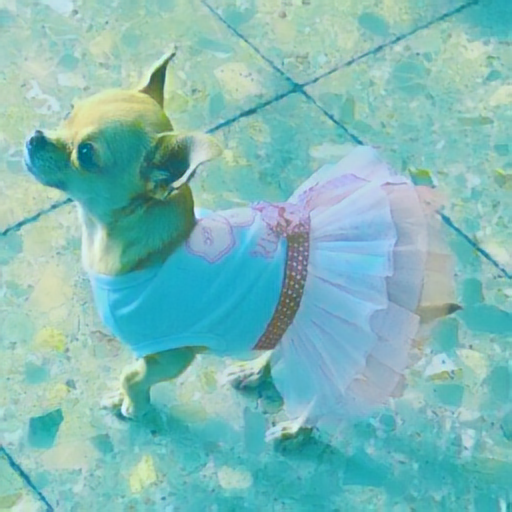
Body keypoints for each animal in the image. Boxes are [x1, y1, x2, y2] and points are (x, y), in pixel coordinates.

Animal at [24, 49, 459, 441]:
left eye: (86, 154)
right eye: (68, 114)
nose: (34, 137)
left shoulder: (172, 352)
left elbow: (133, 375)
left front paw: (135, 405)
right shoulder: (151, 350)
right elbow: (133, 370)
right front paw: (123, 398)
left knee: (322, 395)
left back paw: (296, 429)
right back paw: (256, 371)